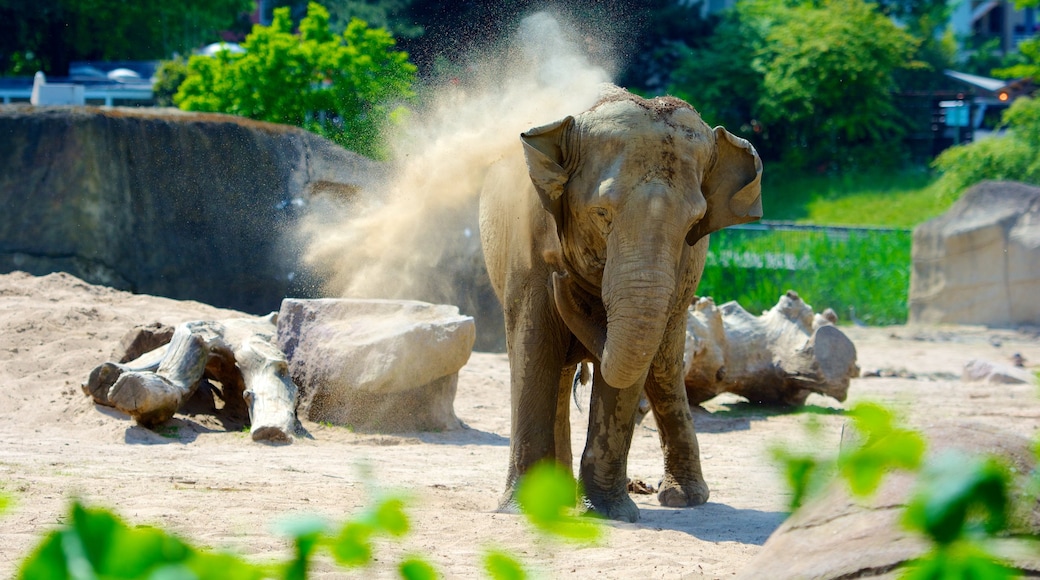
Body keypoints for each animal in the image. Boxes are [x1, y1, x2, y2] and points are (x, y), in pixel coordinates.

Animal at [480, 85, 765, 523]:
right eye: (601, 214)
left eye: (693, 224)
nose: (562, 278)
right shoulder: (527, 246)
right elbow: (534, 347)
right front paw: (522, 511)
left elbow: (630, 366)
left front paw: (607, 513)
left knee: (664, 368)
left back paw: (683, 498)